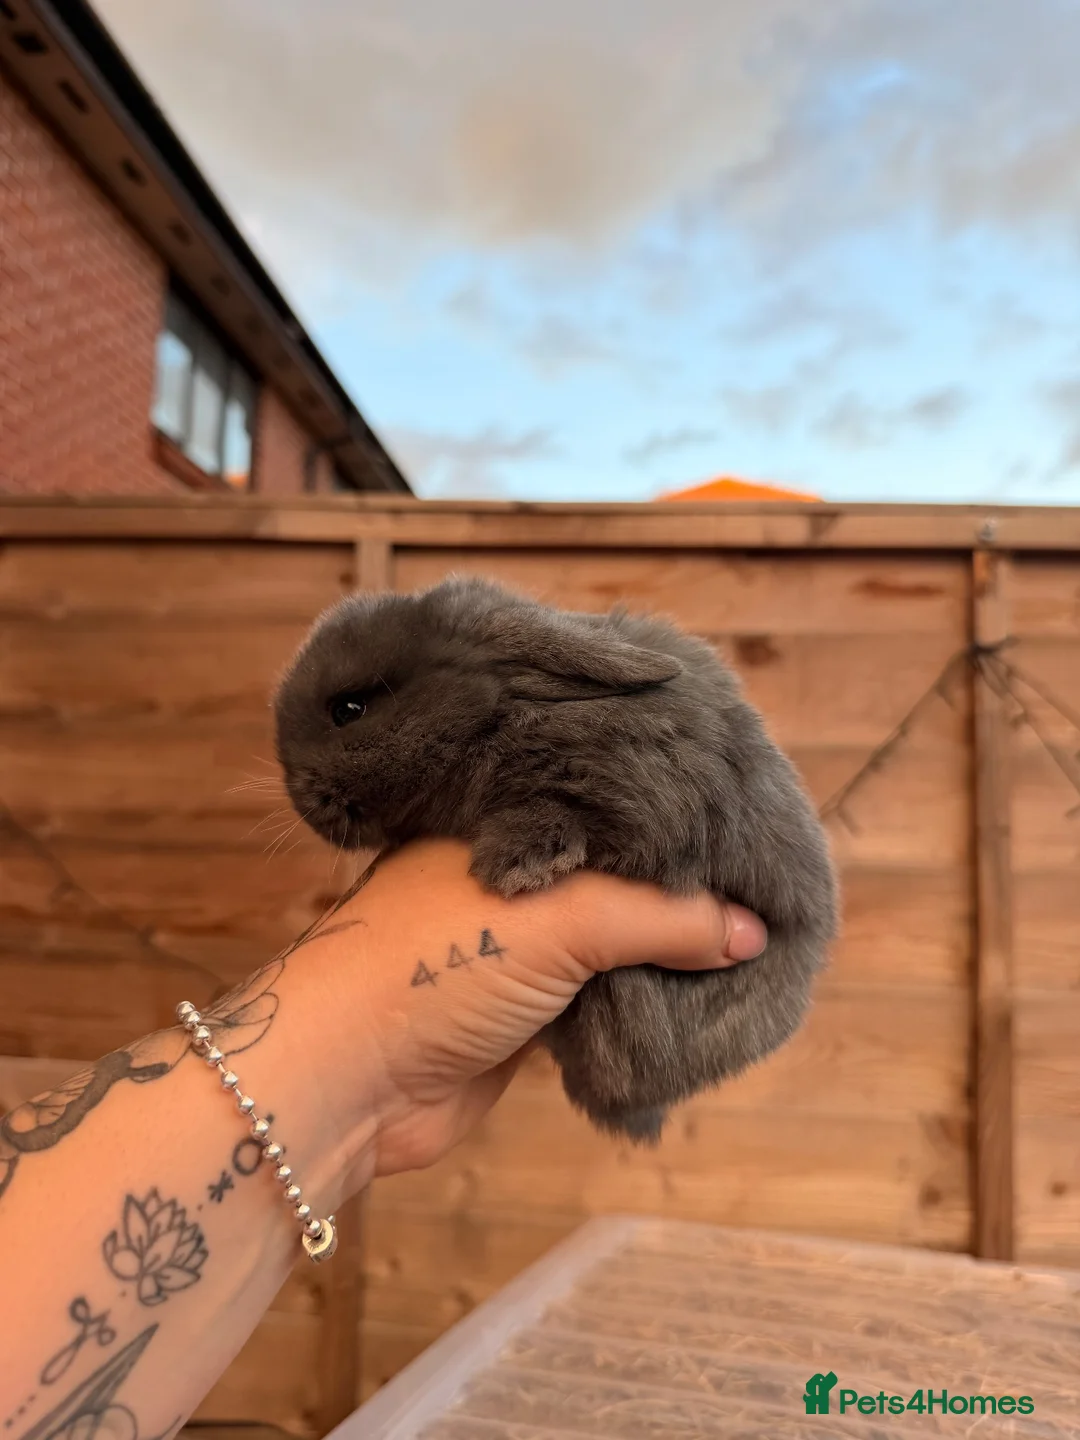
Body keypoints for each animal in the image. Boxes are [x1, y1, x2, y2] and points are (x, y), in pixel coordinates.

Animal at [273, 574, 839, 1142]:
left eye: (348, 710)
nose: (306, 805)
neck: (496, 717)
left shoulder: (649, 796)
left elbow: (567, 810)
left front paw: (514, 864)